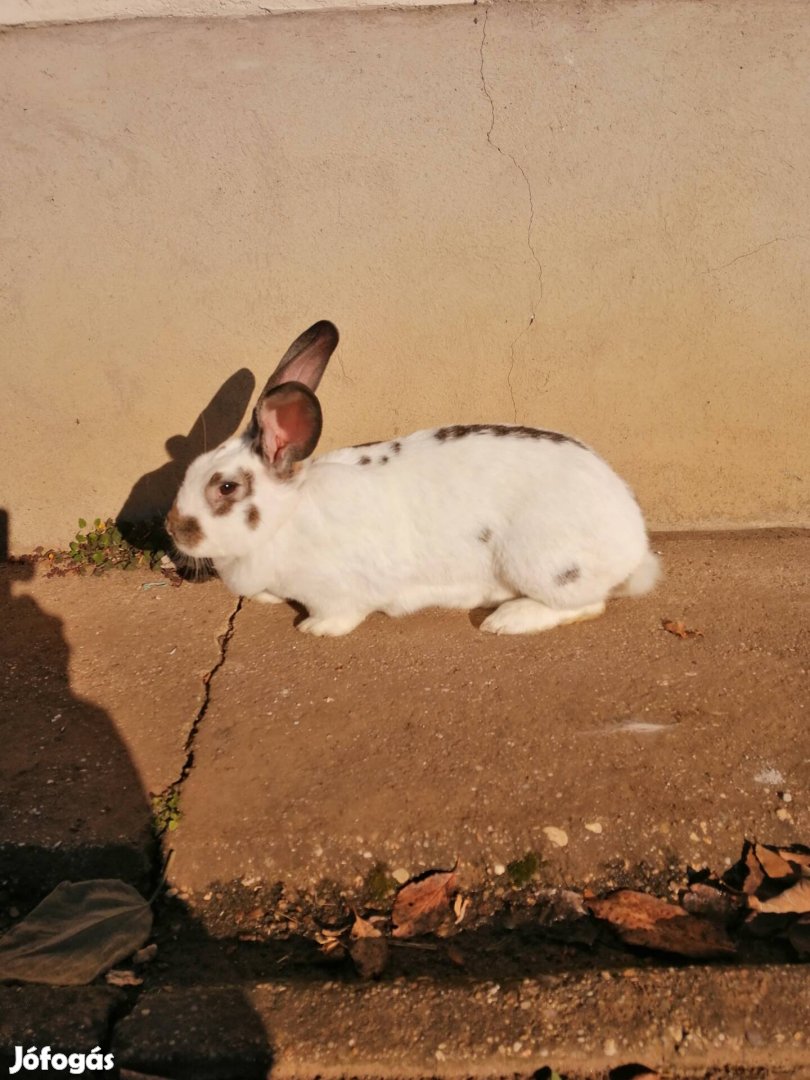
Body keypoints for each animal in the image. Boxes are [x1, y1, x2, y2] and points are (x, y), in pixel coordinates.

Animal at [165, 324, 660, 635]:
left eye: (226, 487)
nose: (172, 527)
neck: (286, 520)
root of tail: (633, 540)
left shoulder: (339, 593)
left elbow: (339, 615)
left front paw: (313, 628)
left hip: (546, 564)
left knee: (585, 604)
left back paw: (508, 620)